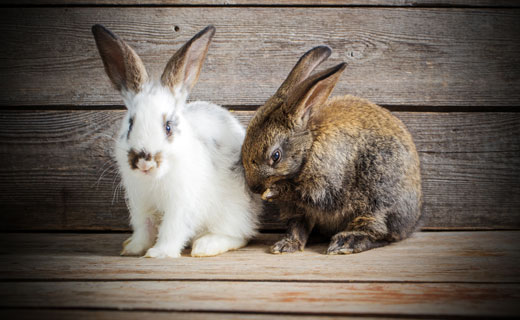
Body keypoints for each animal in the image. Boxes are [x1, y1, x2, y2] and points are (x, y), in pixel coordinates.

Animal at [92, 25, 262, 260]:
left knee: (240, 235)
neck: (155, 179)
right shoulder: (141, 204)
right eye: (130, 124)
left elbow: (172, 229)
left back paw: (206, 246)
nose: (144, 161)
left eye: (168, 127)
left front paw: (158, 253)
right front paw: (133, 249)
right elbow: (144, 228)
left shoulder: (181, 205)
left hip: (233, 211)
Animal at [242, 45, 420, 255]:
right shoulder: (299, 211)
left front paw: (272, 192)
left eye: (275, 156)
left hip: (379, 203)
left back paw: (345, 243)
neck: (309, 146)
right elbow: (297, 227)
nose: (254, 187)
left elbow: (301, 193)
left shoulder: (326, 185)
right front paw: (285, 246)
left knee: (381, 232)